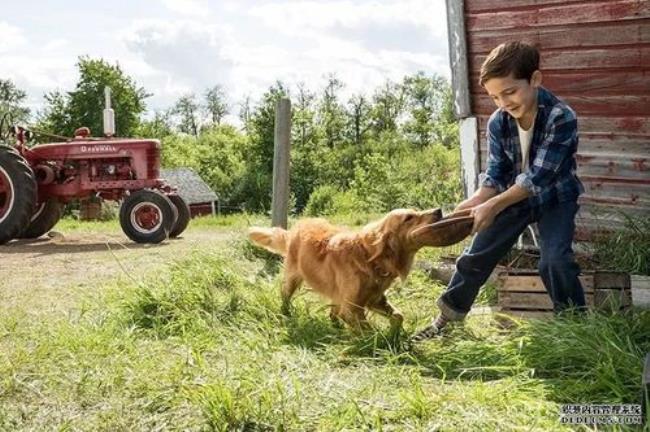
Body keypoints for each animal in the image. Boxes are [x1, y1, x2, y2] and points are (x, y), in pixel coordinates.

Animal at [248, 208, 470, 330]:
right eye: (408, 218)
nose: (438, 211)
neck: (371, 260)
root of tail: (295, 227)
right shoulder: (353, 307)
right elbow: (368, 331)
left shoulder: (374, 299)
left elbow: (398, 316)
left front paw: (396, 336)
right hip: (293, 279)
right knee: (285, 296)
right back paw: (286, 313)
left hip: (338, 294)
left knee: (333, 312)